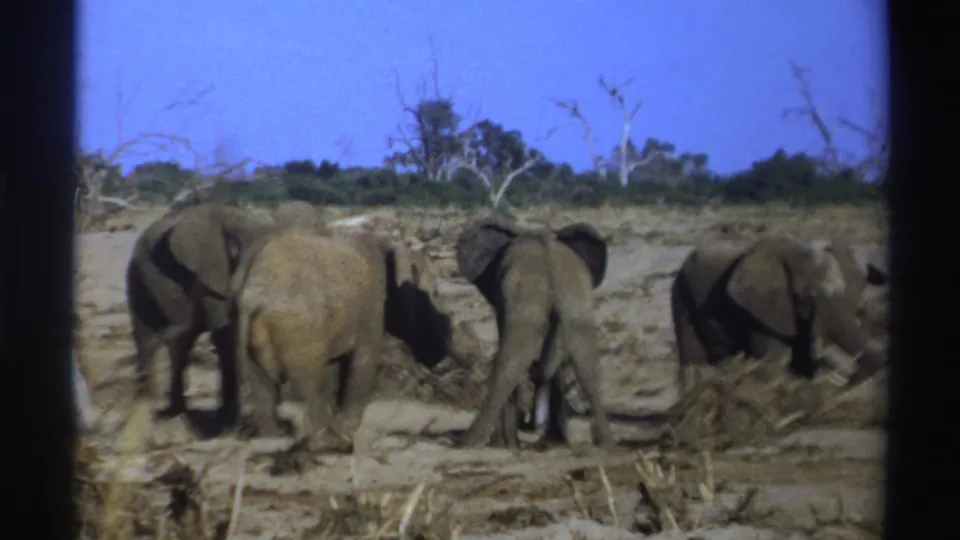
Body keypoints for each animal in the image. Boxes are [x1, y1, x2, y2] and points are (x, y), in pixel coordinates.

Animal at [230, 227, 482, 451]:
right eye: (434, 294)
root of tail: (256, 295)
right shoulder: (371, 310)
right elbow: (363, 363)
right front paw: (347, 435)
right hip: (299, 328)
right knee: (306, 382)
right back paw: (325, 444)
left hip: (243, 327)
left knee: (261, 385)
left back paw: (275, 440)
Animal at [454, 217, 614, 450]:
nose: (528, 421)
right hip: (574, 301)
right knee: (587, 364)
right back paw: (607, 445)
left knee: (510, 362)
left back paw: (472, 443)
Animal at [669, 235, 889, 396]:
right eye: (806, 297)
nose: (845, 386)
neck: (798, 254)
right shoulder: (759, 310)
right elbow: (777, 358)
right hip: (680, 295)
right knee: (693, 361)